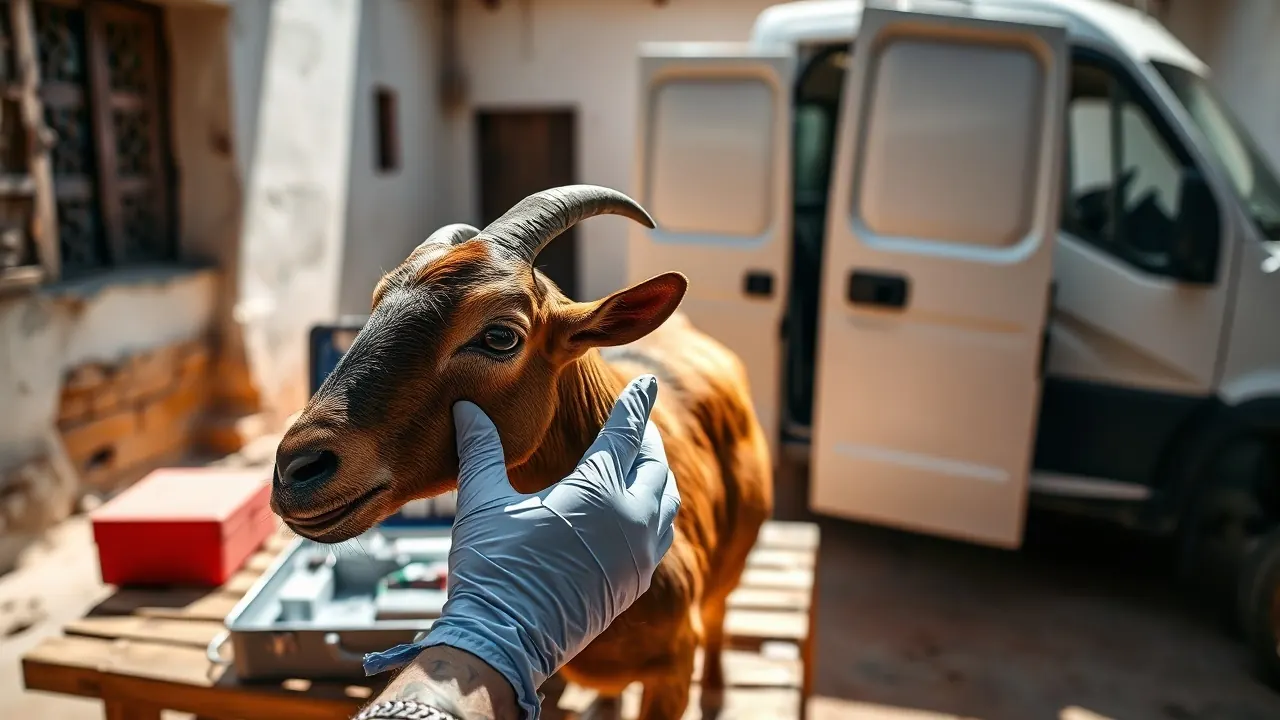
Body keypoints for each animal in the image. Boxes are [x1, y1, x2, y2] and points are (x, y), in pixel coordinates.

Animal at [272, 185, 774, 719]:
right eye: (375, 306)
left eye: (499, 336)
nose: (297, 469)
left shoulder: (673, 667)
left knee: (720, 608)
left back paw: (716, 689)